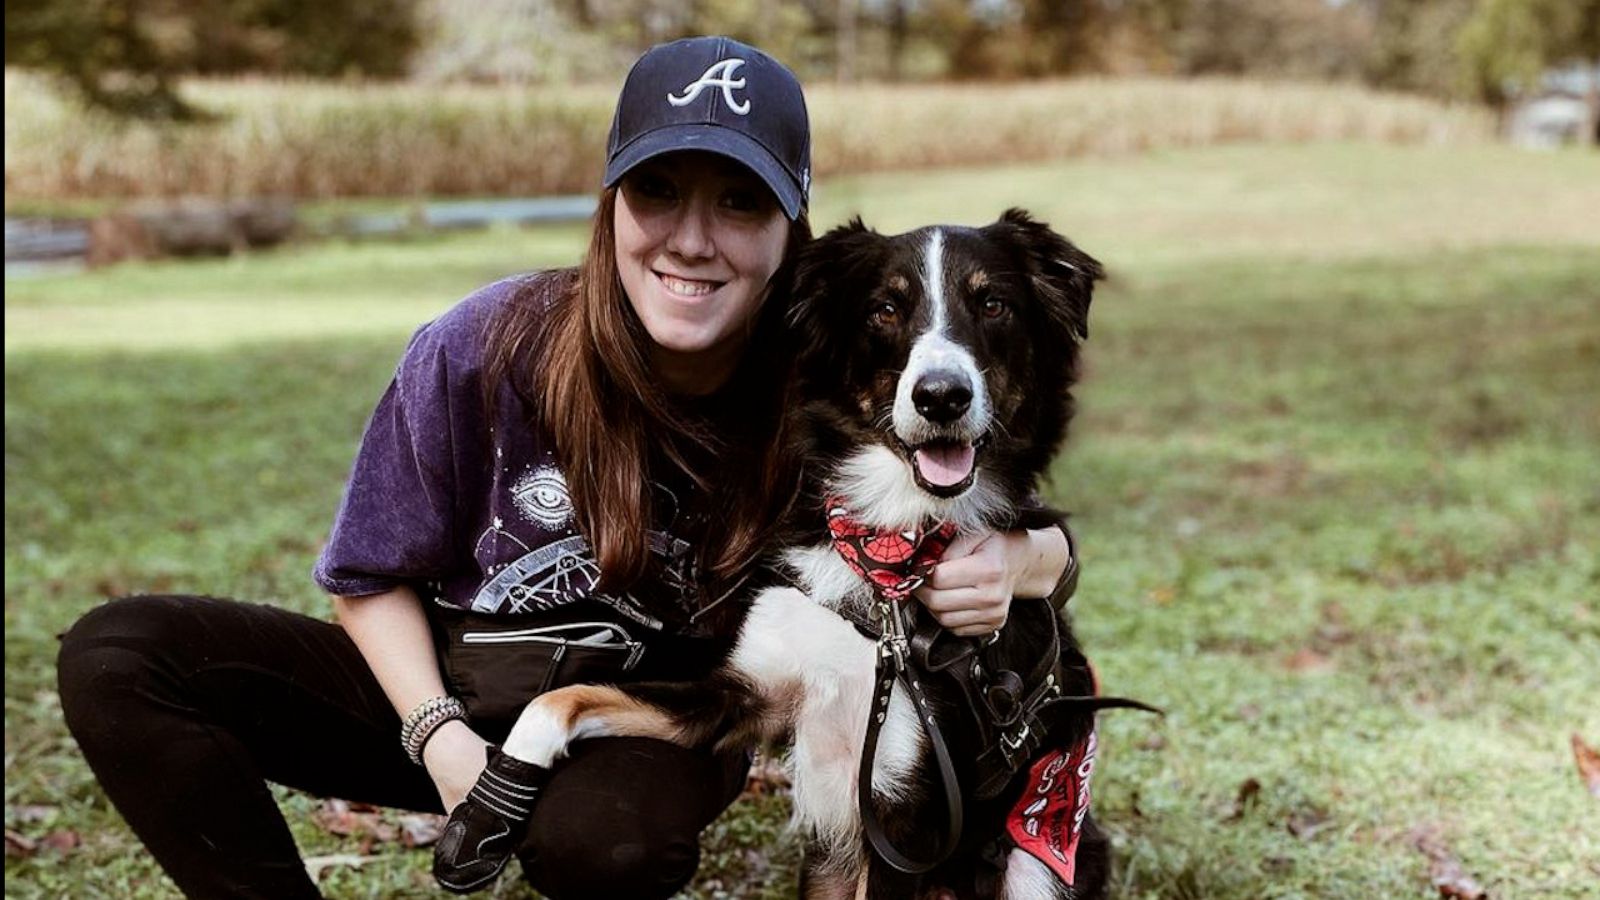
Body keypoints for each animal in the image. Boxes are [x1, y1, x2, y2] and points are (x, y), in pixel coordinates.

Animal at [428, 206, 1126, 890]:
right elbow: (560, 698)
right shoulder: (740, 693)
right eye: (885, 309)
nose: (941, 396)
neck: (887, 555)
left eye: (993, 304)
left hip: (1036, 862)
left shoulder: (909, 812)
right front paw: (486, 807)